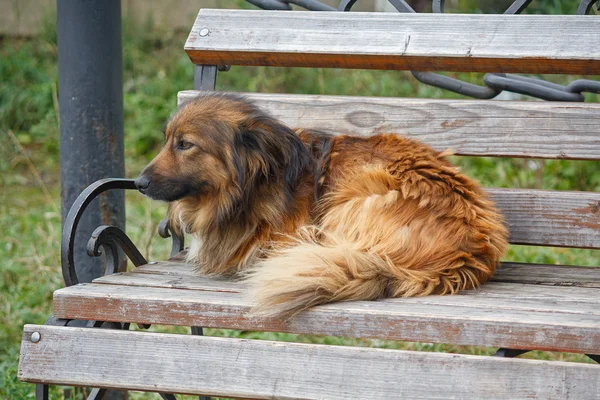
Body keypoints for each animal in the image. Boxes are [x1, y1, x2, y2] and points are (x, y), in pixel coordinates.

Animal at [135, 92, 506, 318]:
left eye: (185, 144)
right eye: (167, 141)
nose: (138, 184)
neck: (256, 182)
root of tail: (469, 253)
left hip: (355, 196)